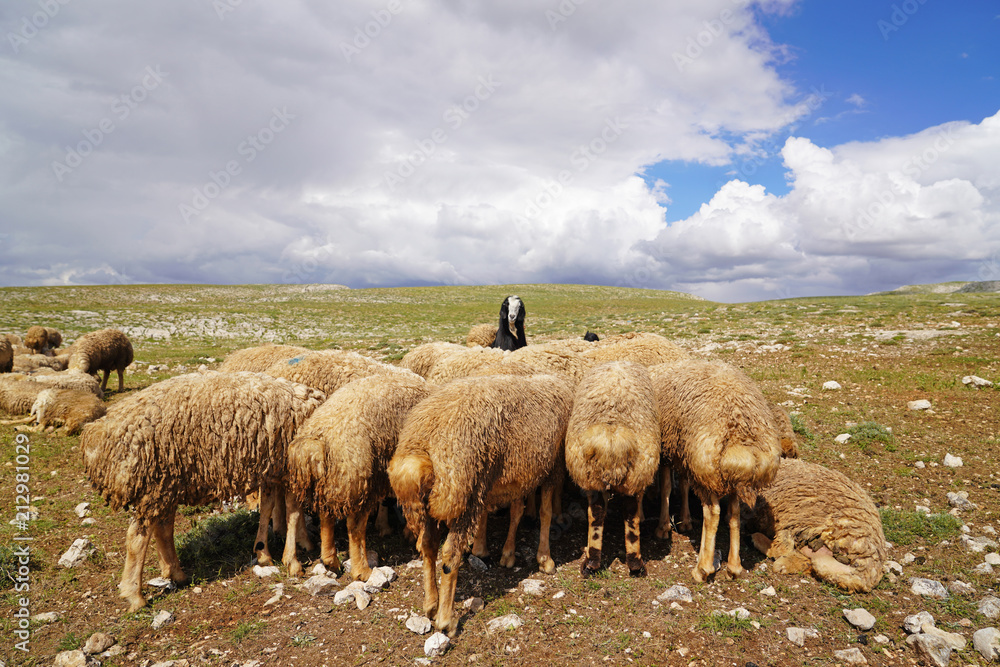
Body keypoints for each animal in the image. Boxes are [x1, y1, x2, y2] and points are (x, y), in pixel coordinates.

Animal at [80, 371, 325, 611]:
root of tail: (97, 435)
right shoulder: (289, 468)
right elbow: (293, 512)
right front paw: (293, 560)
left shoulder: (271, 468)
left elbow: (268, 507)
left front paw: (264, 552)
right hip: (152, 483)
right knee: (137, 538)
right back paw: (135, 595)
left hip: (166, 484)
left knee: (162, 528)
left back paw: (175, 573)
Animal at [286, 371, 430, 580]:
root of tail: (317, 441)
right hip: (358, 480)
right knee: (354, 527)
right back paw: (362, 570)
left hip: (335, 481)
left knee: (325, 516)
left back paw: (330, 560)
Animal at [389, 373, 573, 636]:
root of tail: (422, 447)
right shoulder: (552, 466)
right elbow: (545, 514)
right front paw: (545, 559)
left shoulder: (517, 475)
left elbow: (517, 512)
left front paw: (507, 554)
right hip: (462, 494)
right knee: (450, 554)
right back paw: (446, 619)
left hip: (432, 503)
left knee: (428, 545)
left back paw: (431, 605)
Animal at [565, 361, 660, 577]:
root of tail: (612, 435)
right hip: (635, 472)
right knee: (629, 515)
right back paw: (635, 564)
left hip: (593, 476)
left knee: (597, 513)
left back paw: (592, 563)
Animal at [649, 359, 781, 582]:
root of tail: (740, 434)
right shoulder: (685, 457)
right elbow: (683, 486)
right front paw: (685, 521)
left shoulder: (668, 451)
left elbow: (667, 488)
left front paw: (663, 527)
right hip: (727, 475)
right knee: (734, 514)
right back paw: (734, 567)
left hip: (707, 467)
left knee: (712, 514)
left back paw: (703, 568)